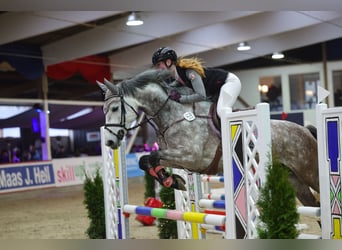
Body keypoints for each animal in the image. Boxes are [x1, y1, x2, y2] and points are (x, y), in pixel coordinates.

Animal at [97, 69, 320, 209]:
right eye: (103, 110)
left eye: (115, 108)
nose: (109, 142)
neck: (173, 114)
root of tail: (305, 130)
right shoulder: (177, 158)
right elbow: (146, 160)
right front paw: (173, 180)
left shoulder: (190, 156)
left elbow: (149, 158)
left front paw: (172, 180)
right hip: (294, 180)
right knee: (316, 207)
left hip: (309, 172)